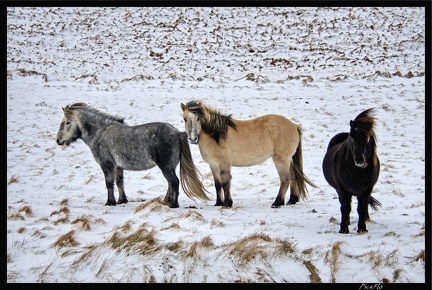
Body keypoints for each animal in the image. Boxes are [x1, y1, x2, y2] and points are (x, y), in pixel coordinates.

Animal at [54, 103, 210, 207]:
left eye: (67, 122)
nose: (58, 141)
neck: (100, 132)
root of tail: (176, 132)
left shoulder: (107, 165)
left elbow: (109, 183)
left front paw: (110, 202)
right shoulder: (118, 166)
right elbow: (119, 182)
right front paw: (121, 200)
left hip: (166, 166)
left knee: (174, 182)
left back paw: (173, 204)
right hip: (169, 166)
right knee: (170, 183)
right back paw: (166, 201)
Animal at [180, 100, 318, 208]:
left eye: (198, 118)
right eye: (185, 119)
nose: (193, 139)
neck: (216, 135)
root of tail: (294, 126)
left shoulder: (224, 164)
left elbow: (225, 183)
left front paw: (227, 203)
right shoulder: (213, 165)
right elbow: (217, 184)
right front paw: (218, 203)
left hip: (281, 160)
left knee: (285, 179)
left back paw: (277, 202)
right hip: (288, 159)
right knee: (293, 177)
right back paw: (292, 200)